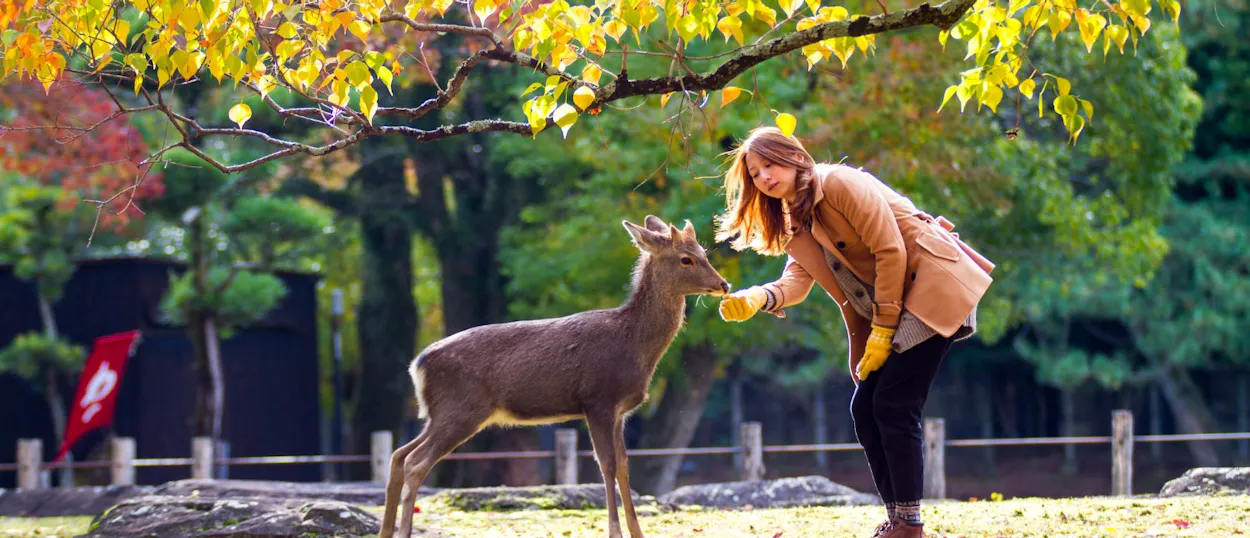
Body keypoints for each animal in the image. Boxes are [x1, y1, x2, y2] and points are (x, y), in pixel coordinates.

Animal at [378, 215, 731, 538]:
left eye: (704, 251)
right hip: (462, 408)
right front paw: (615, 531)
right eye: (686, 258)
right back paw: (404, 530)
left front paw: (637, 533)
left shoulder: (620, 412)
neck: (634, 345)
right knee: (416, 462)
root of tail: (418, 365)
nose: (724, 284)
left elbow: (624, 467)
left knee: (398, 455)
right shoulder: (598, 400)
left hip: (440, 413)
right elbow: (607, 466)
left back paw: (385, 531)